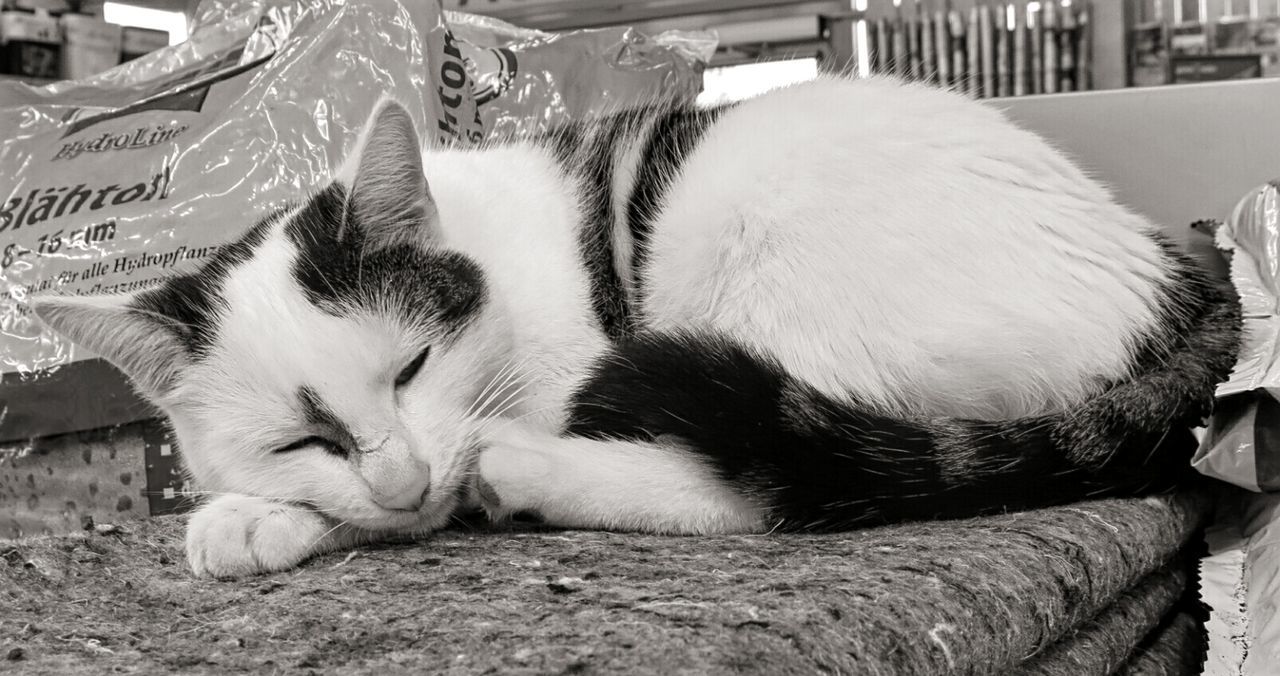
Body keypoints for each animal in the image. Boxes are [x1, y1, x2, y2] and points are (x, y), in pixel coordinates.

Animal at [32, 77, 1239, 576]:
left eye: (412, 364)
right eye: (300, 436)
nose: (402, 477)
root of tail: (1158, 263)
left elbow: (441, 486)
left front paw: (271, 519)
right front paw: (255, 511)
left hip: (745, 242)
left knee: (766, 488)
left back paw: (527, 472)